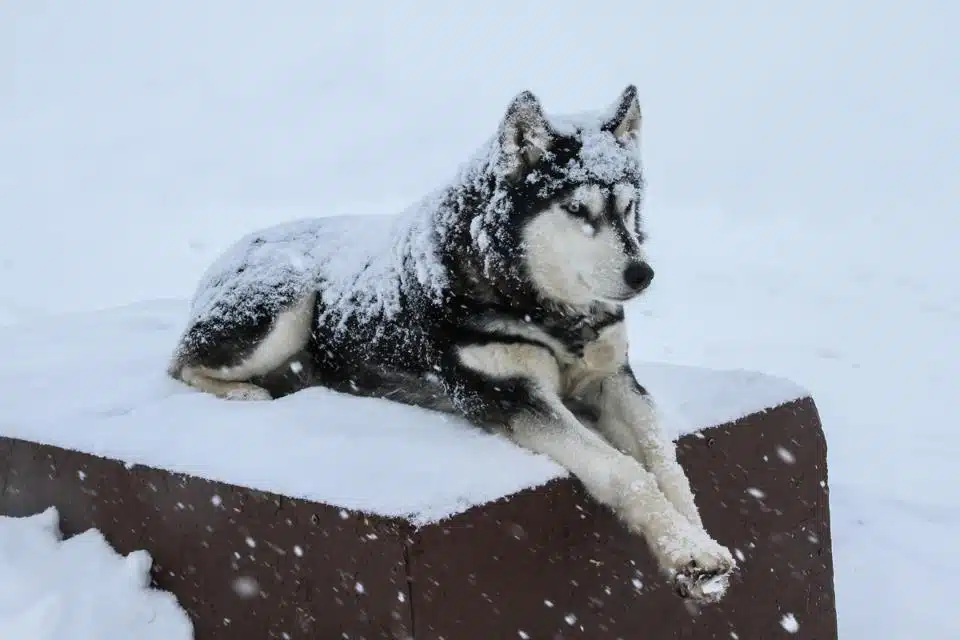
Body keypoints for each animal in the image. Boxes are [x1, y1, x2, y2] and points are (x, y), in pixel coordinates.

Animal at [169, 84, 736, 600]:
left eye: (628, 206)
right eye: (577, 209)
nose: (643, 273)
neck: (543, 309)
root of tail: (233, 250)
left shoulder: (614, 379)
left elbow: (668, 465)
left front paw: (698, 543)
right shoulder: (510, 392)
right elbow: (624, 470)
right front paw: (686, 549)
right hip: (286, 304)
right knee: (181, 364)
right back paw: (244, 391)